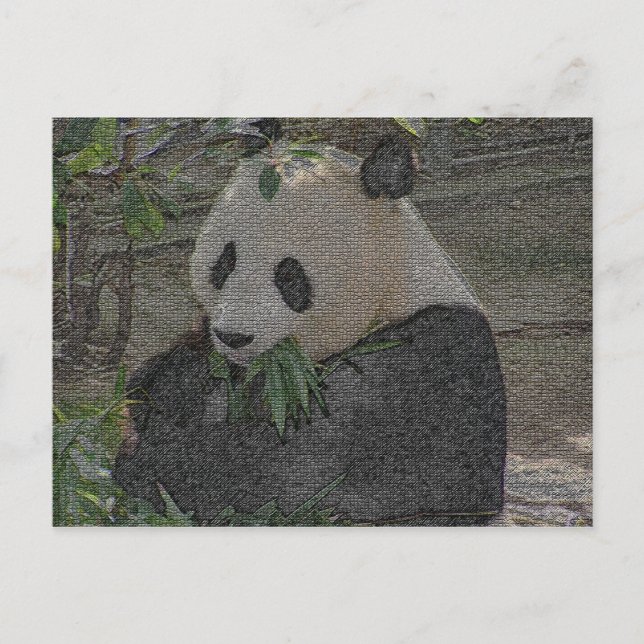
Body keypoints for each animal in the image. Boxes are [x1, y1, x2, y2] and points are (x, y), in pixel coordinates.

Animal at [114, 129, 506, 526]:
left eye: (289, 276)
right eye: (225, 262)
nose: (234, 337)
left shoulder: (416, 366)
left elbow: (286, 470)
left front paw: (158, 460)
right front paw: (172, 392)